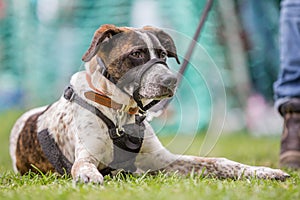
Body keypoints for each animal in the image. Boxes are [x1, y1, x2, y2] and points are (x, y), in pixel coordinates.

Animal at [10, 24, 290, 184]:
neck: (121, 115)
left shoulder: (165, 161)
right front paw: (88, 176)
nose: (171, 80)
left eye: (163, 55)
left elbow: (219, 162)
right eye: (136, 54)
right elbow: (83, 165)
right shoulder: (87, 154)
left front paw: (263, 171)